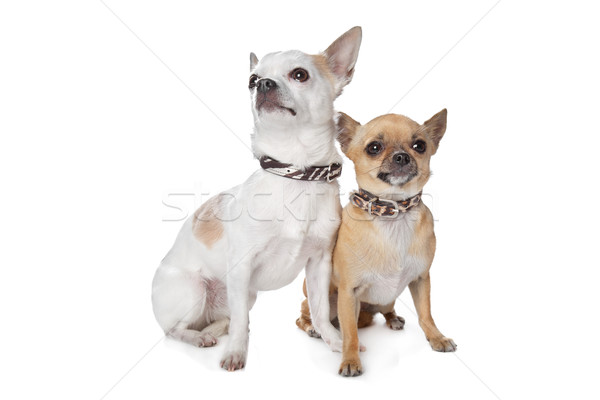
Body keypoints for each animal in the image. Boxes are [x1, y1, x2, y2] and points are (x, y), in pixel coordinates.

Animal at [152, 27, 364, 372]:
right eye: (251, 79)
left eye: (300, 74)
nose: (263, 84)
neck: (294, 173)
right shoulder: (242, 266)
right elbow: (240, 323)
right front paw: (236, 353)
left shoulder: (319, 263)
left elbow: (320, 310)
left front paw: (335, 341)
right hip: (195, 290)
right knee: (175, 330)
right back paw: (198, 338)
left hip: (242, 295)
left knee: (224, 319)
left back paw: (211, 330)